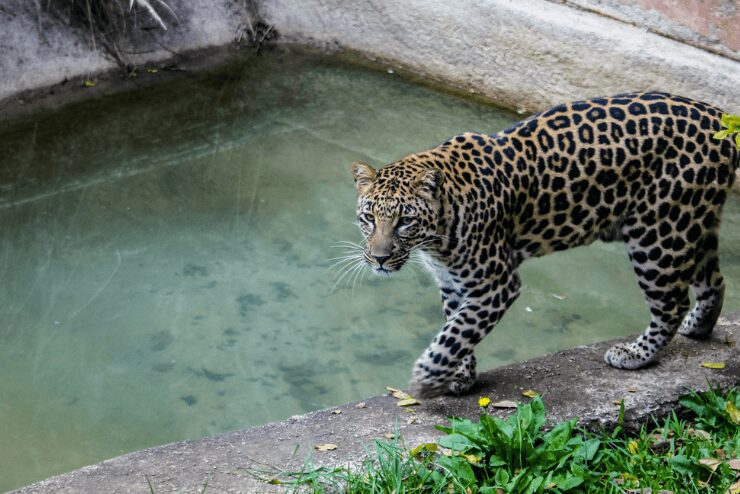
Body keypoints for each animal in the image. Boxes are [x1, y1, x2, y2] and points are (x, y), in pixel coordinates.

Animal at [350, 90, 736, 398]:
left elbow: (457, 332)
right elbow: (455, 326)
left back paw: (634, 355)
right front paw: (461, 377)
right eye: (369, 217)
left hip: (657, 233)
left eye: (404, 221)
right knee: (714, 281)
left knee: (671, 302)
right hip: (692, 223)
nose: (379, 258)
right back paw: (698, 329)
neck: (434, 238)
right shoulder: (451, 281)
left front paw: (427, 378)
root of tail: (717, 116)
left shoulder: (496, 284)